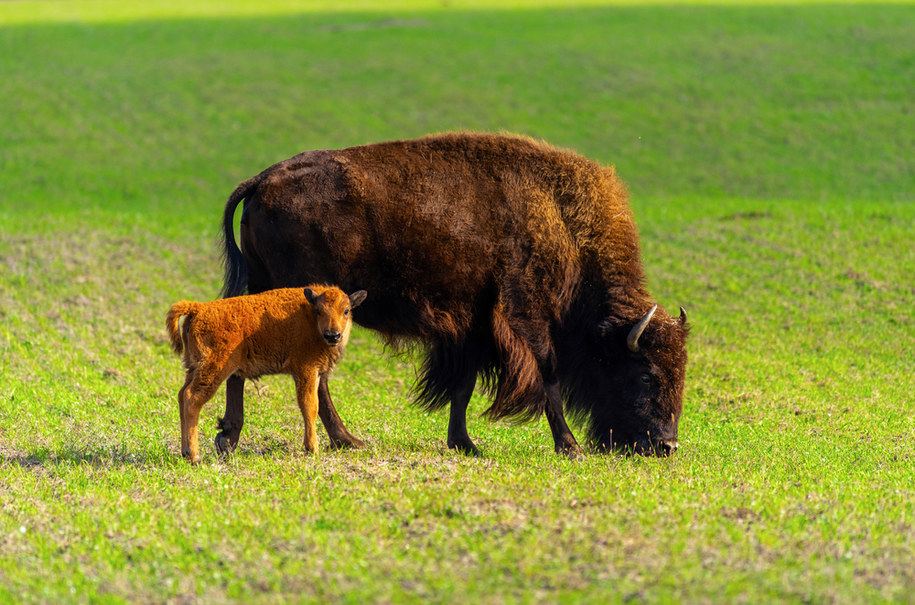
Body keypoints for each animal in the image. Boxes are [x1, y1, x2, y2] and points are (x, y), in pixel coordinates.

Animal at [166, 286, 366, 460]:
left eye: (346, 310)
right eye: (319, 311)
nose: (333, 335)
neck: (309, 319)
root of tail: (199, 309)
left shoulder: (315, 373)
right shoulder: (306, 370)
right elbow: (309, 406)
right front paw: (312, 448)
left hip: (194, 368)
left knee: (182, 395)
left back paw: (185, 452)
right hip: (213, 370)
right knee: (192, 399)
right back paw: (193, 456)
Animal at [216, 131, 688, 452]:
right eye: (645, 374)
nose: (666, 446)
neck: (561, 221)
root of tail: (262, 180)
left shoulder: (472, 326)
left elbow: (463, 385)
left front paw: (464, 443)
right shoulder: (526, 317)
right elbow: (547, 375)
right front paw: (569, 447)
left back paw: (231, 436)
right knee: (314, 373)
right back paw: (345, 439)